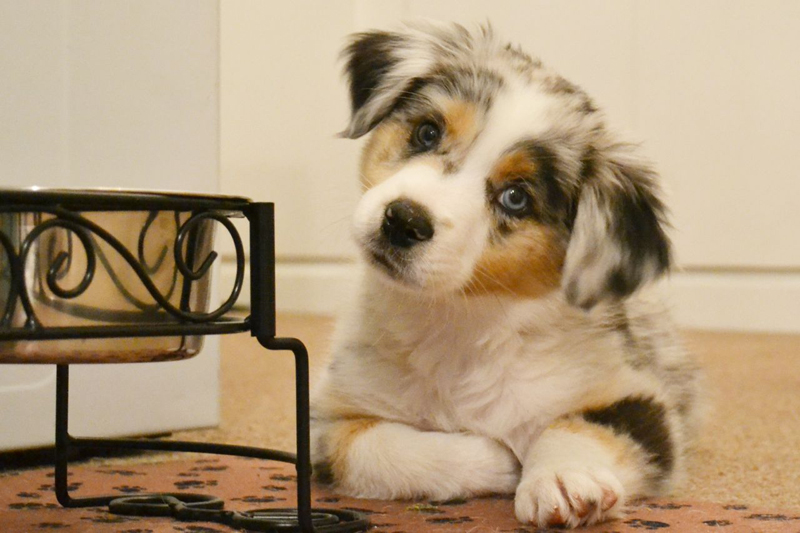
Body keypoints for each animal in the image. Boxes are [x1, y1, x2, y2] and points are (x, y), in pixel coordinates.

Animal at [310, 22, 703, 529]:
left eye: (516, 198)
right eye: (426, 132)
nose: (402, 221)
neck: (459, 324)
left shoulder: (640, 398)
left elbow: (574, 426)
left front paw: (563, 480)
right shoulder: (328, 418)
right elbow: (380, 446)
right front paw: (499, 459)